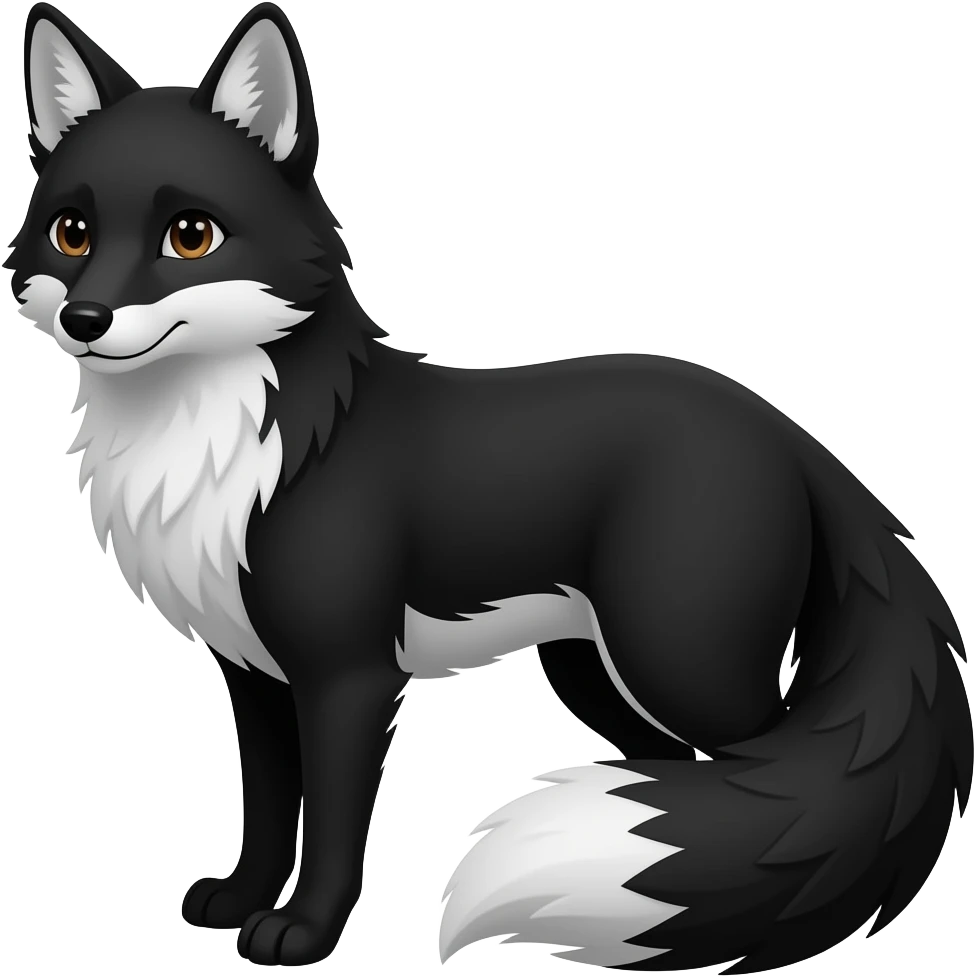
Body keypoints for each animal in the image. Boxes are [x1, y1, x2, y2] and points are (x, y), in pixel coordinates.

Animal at [6, 1, 973, 971]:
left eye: (190, 235)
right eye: (71, 231)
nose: (86, 319)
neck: (230, 450)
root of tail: (786, 431)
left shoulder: (348, 675)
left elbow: (331, 829)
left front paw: (303, 932)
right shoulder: (253, 672)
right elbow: (270, 810)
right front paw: (239, 900)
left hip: (681, 661)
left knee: (769, 784)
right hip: (592, 669)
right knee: (685, 783)